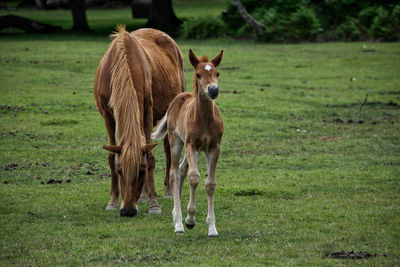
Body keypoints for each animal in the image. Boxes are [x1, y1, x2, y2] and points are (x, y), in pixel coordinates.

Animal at [93, 26, 184, 217]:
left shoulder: (147, 110)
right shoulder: (108, 115)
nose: (128, 210)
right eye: (119, 171)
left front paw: (154, 204)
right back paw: (143, 195)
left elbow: (150, 156)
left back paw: (168, 191)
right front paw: (113, 201)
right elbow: (112, 156)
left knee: (167, 148)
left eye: (141, 171)